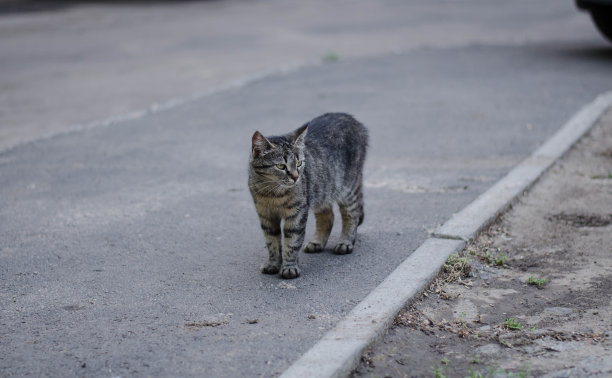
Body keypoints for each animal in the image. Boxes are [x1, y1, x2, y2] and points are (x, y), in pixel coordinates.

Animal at [247, 111, 368, 278]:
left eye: (299, 163)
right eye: (281, 166)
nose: (296, 176)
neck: (272, 194)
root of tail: (349, 117)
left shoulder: (297, 213)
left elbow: (292, 241)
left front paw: (289, 267)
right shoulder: (266, 215)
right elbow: (272, 242)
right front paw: (273, 263)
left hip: (348, 188)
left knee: (352, 214)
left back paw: (345, 242)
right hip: (321, 192)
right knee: (328, 217)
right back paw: (317, 243)